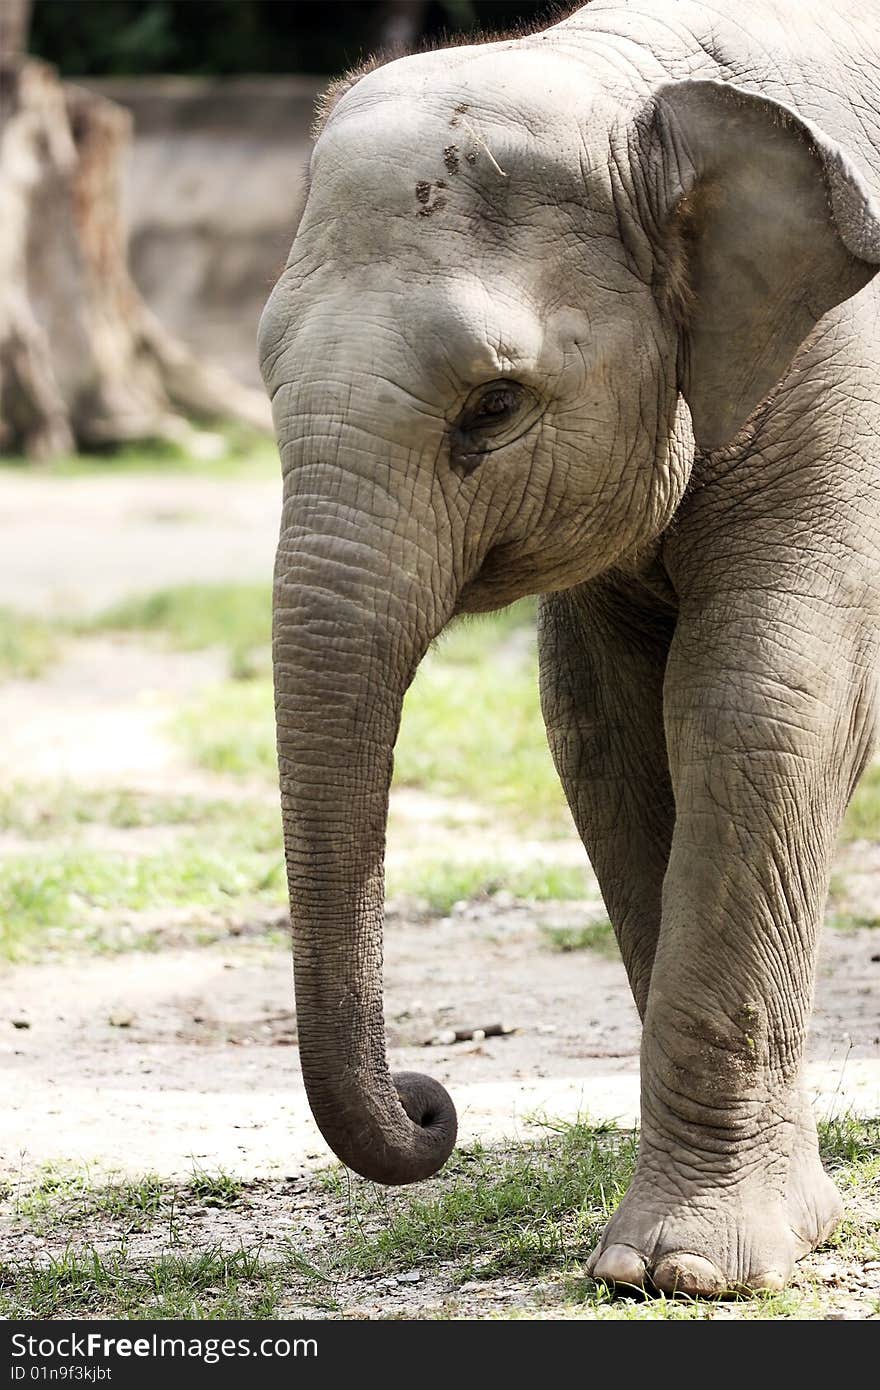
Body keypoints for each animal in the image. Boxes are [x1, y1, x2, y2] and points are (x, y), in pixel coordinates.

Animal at [257, 0, 878, 1295]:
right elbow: (602, 729)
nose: (432, 1101)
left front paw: (687, 1272)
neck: (632, 85)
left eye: (492, 407)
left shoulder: (844, 374)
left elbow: (760, 702)